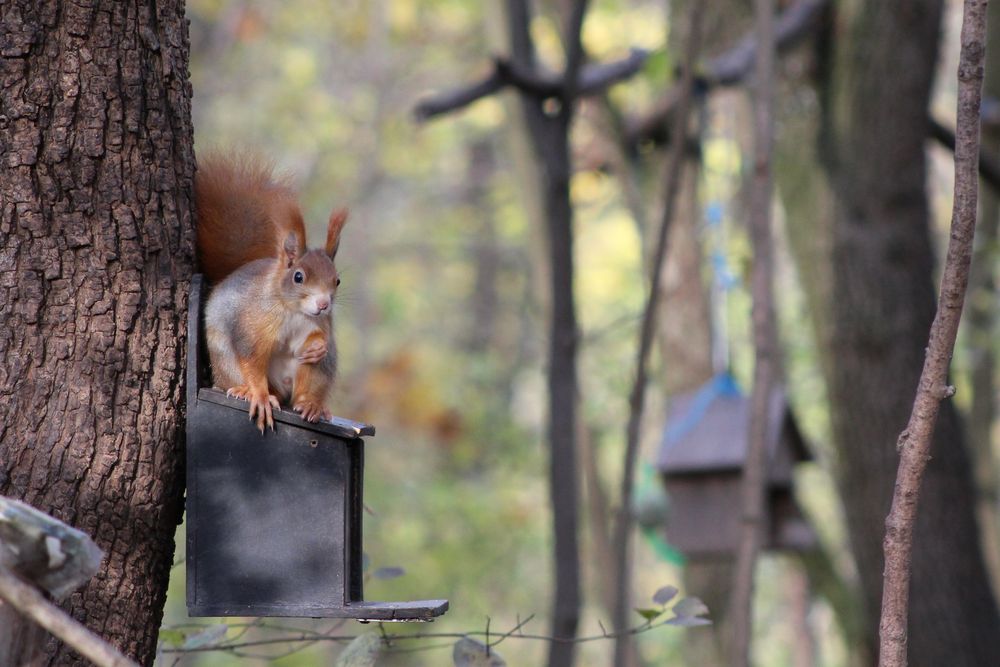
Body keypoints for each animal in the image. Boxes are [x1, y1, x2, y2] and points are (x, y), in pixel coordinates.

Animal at [195, 153, 348, 434]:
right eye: (298, 277)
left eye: (337, 280)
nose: (323, 304)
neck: (295, 312)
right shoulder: (253, 326)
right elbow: (252, 358)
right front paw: (259, 395)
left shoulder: (320, 323)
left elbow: (322, 337)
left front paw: (317, 347)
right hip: (225, 359)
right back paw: (248, 391)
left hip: (318, 372)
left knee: (305, 388)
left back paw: (312, 405)